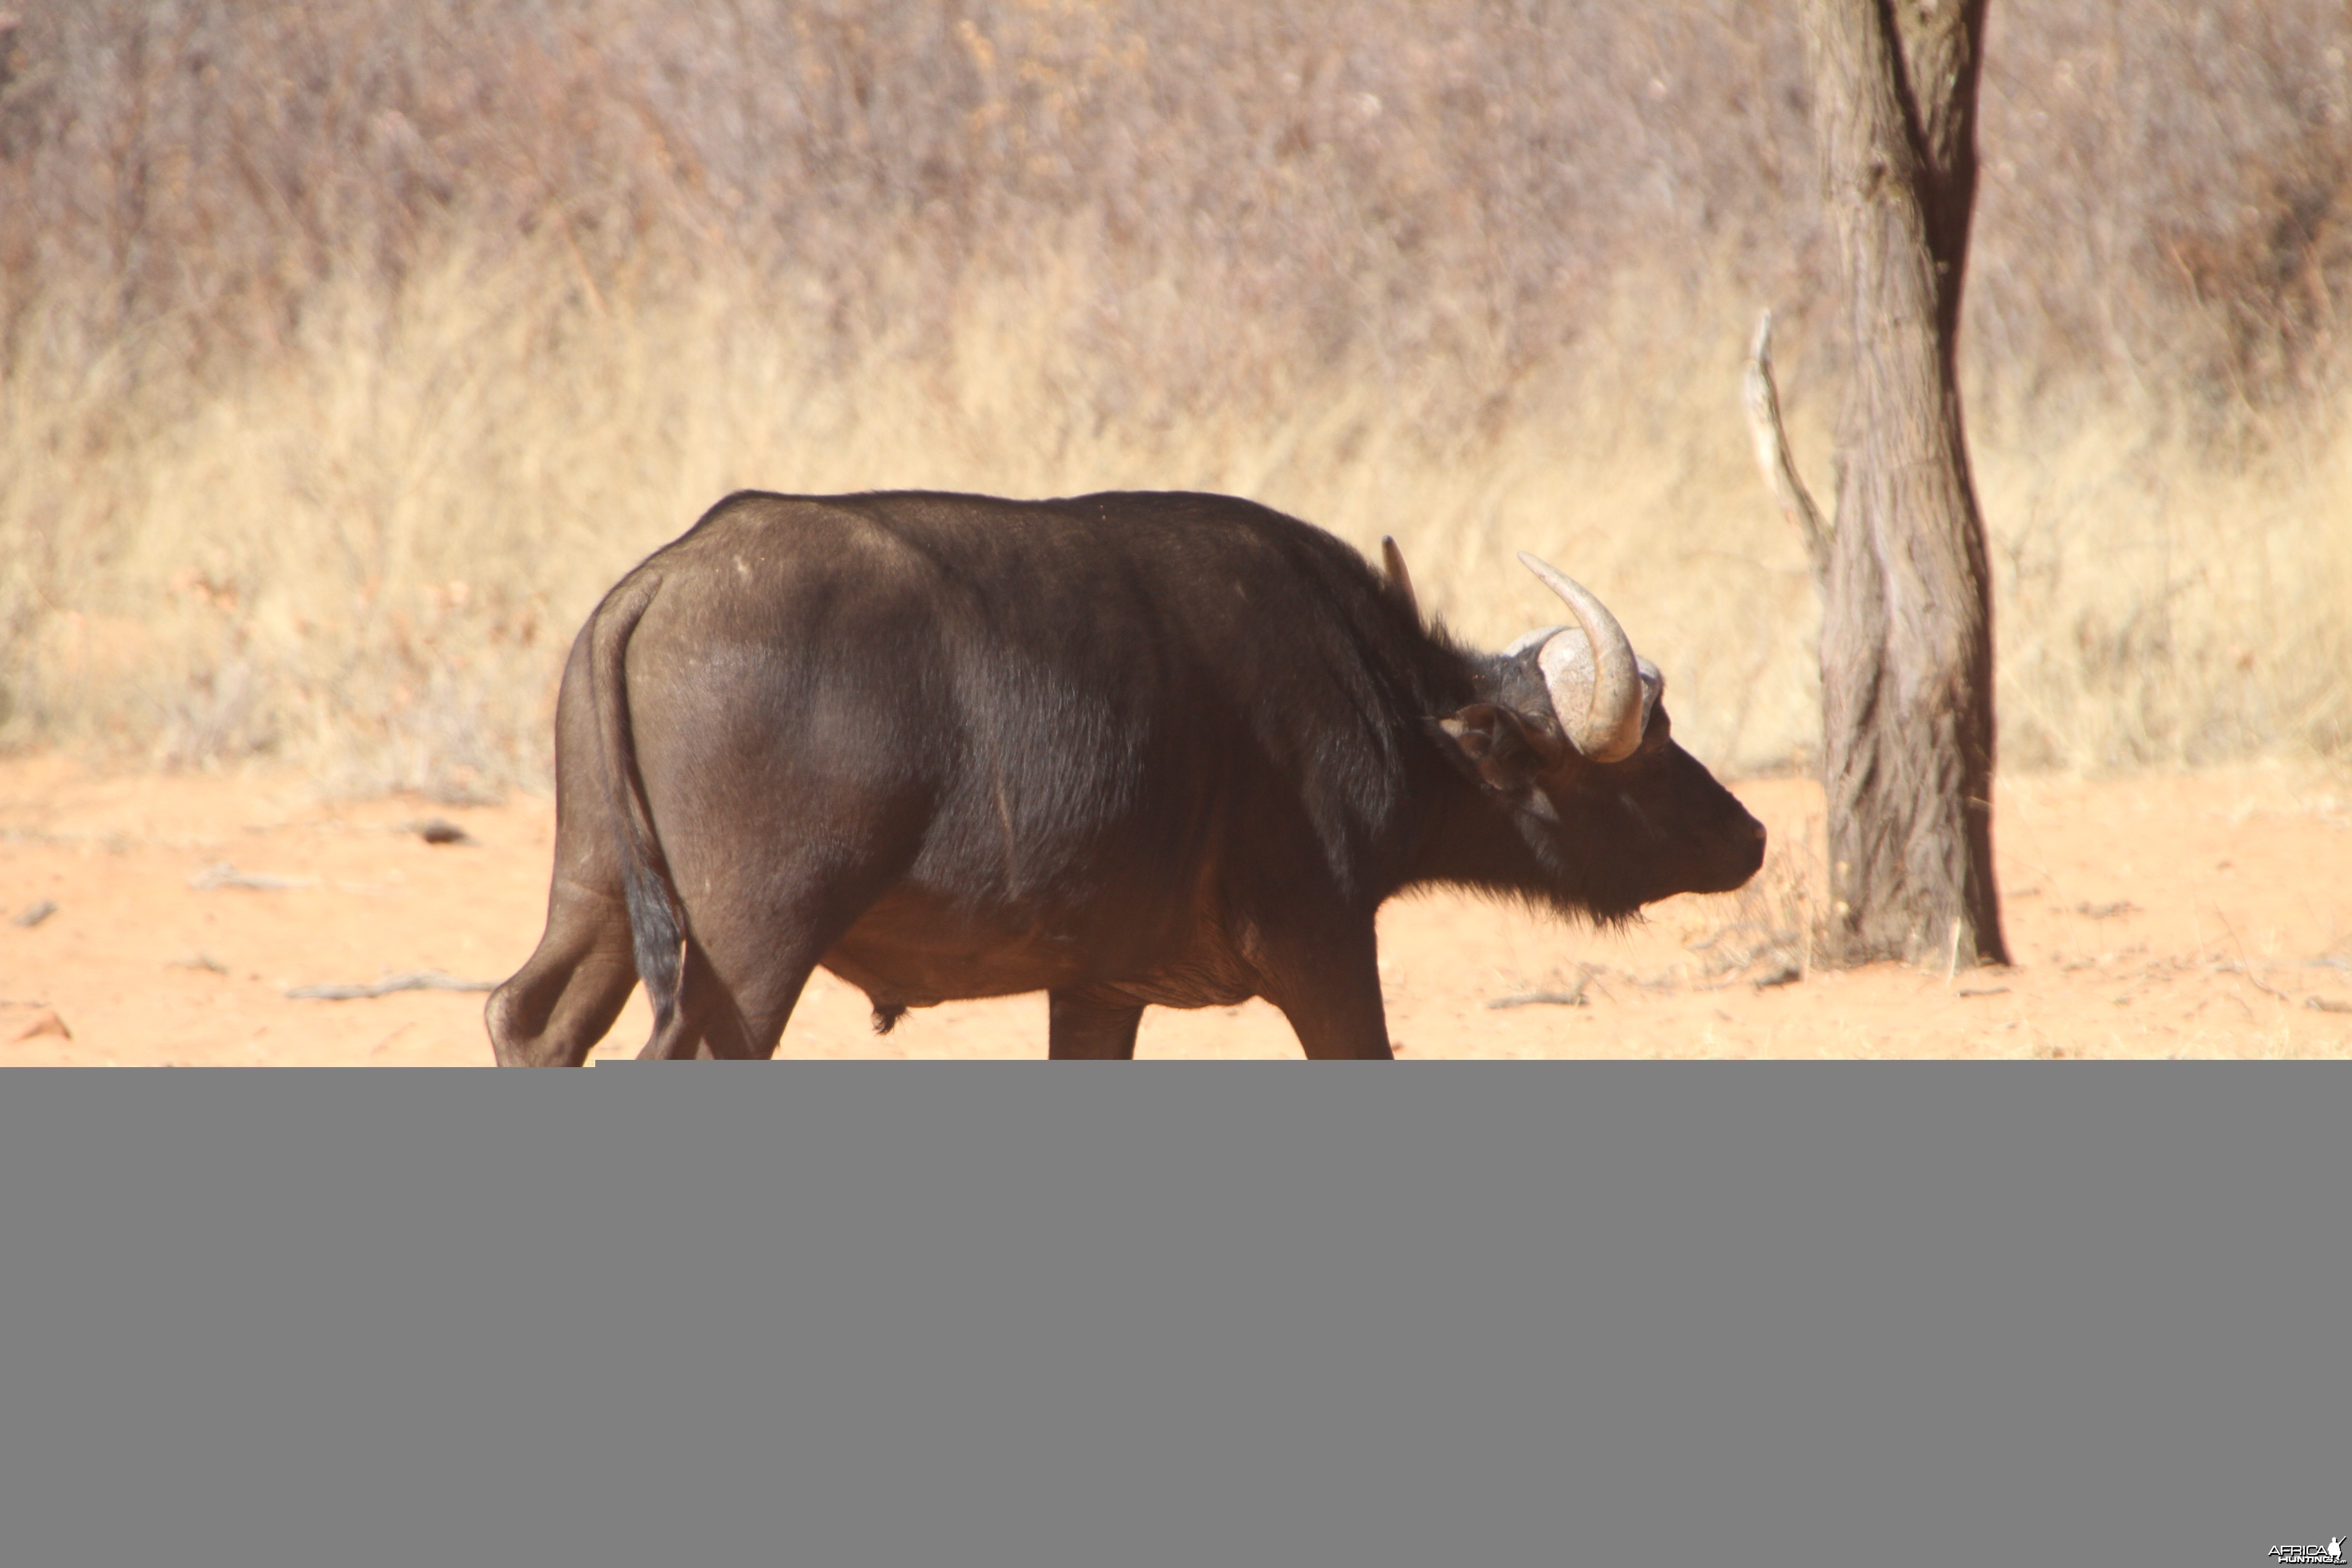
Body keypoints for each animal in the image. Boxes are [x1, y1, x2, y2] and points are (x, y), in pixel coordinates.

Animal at [482, 486, 1769, 1067]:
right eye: (1652, 739)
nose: (1750, 836)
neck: (1382, 694)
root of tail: (661, 580)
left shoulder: (1099, 989)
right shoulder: (1321, 944)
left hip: (597, 901)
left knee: (527, 1019)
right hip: (752, 949)